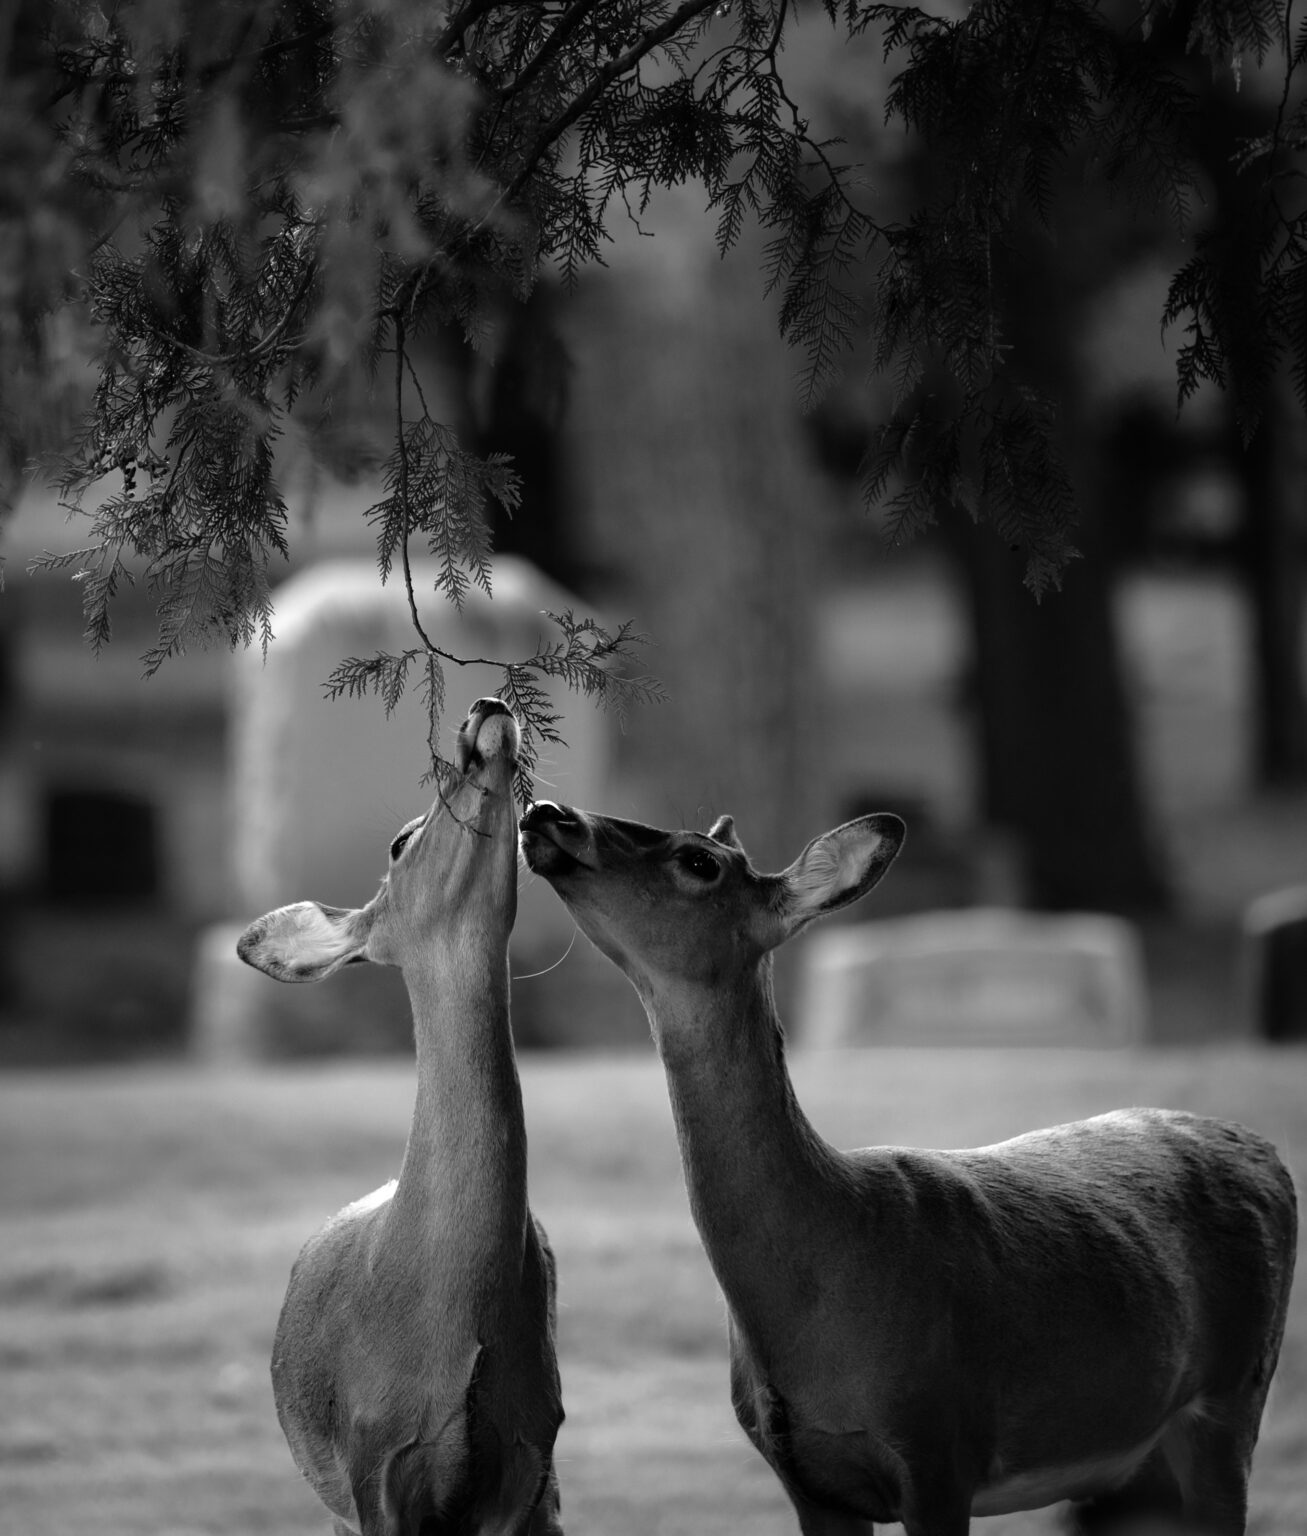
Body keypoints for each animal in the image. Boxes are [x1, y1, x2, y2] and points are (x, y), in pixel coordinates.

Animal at [519, 799, 1297, 1536]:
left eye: (698, 861)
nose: (548, 812)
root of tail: (1269, 1153)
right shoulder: (808, 1481)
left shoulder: (938, 1448)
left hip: (1233, 1394)